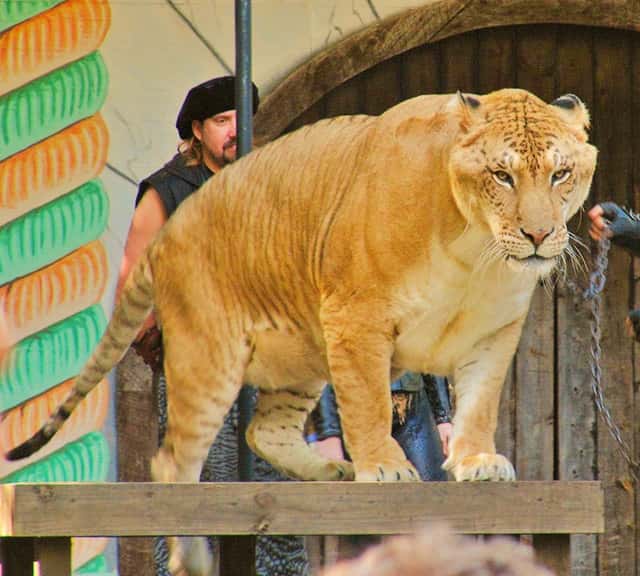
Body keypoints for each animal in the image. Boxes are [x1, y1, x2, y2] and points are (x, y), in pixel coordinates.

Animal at [5, 88, 596, 572]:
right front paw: (384, 467)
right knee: (172, 461)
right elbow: (368, 401)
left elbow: (479, 403)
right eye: (502, 175)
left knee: (262, 431)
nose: (539, 235)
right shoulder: (357, 315)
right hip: (208, 357)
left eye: (560, 174)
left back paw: (330, 473)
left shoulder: (495, 332)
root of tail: (164, 236)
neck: (476, 250)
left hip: (303, 352)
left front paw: (477, 462)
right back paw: (193, 554)